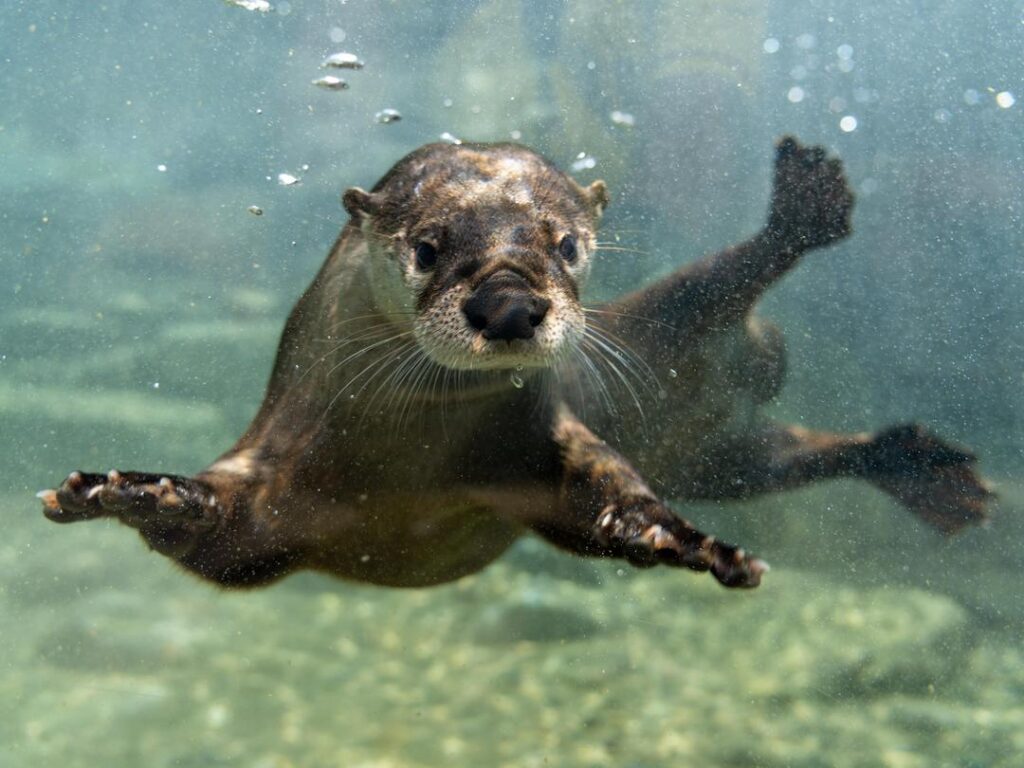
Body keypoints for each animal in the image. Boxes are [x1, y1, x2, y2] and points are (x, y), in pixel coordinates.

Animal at [39, 137, 991, 589]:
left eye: (565, 243)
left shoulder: (544, 438)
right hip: (722, 453)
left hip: (664, 339)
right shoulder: (273, 484)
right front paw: (133, 490)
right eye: (428, 246)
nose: (508, 304)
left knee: (722, 288)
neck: (403, 458)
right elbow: (220, 536)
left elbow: (606, 492)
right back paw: (925, 468)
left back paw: (804, 215)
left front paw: (679, 540)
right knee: (789, 450)